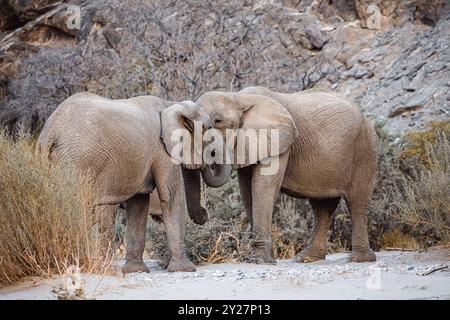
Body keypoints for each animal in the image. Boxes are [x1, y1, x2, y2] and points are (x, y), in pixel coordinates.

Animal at [35, 91, 232, 274]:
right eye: (209, 129)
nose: (205, 212)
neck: (170, 104)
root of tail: (50, 131)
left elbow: (139, 204)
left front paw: (136, 270)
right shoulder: (162, 151)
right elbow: (171, 196)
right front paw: (185, 269)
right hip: (80, 161)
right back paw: (103, 270)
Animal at [193, 86, 376, 264]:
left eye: (217, 121)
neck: (238, 97)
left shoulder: (278, 141)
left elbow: (263, 187)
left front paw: (261, 261)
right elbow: (247, 192)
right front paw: (265, 259)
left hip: (364, 149)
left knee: (356, 201)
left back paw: (359, 259)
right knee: (323, 206)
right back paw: (306, 259)